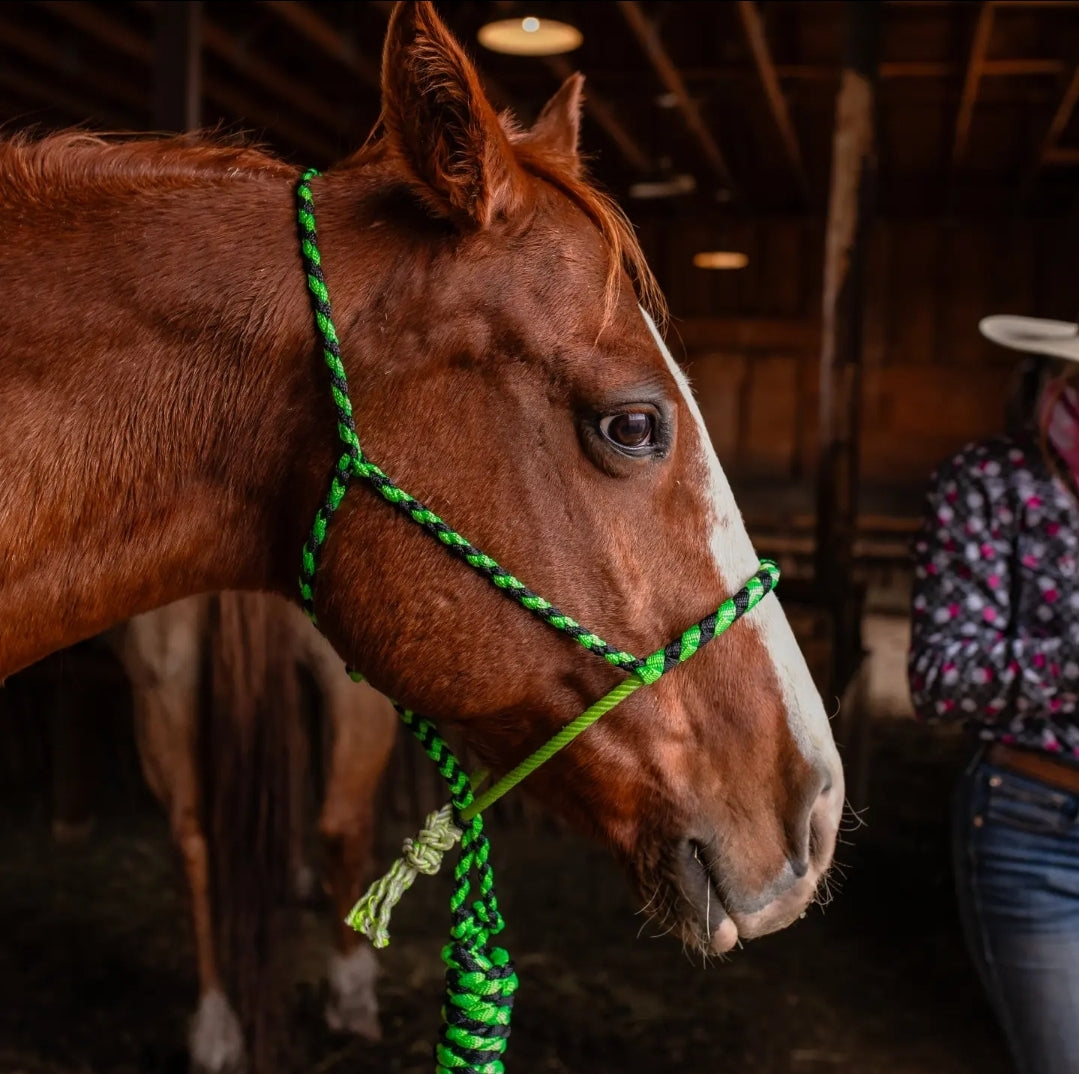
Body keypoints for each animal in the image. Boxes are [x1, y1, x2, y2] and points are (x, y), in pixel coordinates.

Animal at [110, 591, 397, 1070]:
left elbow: (292, 744)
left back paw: (216, 1031)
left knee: (190, 843)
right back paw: (352, 996)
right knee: (339, 824)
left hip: (161, 684)